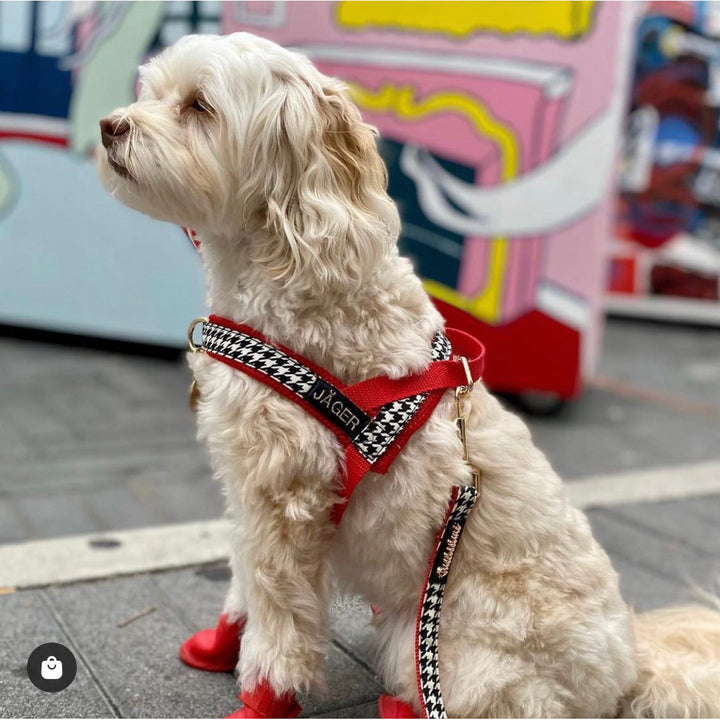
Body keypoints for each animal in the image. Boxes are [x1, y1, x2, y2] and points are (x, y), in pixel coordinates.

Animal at [98, 33, 720, 720]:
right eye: (152, 92)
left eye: (199, 107)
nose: (108, 127)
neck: (295, 267)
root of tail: (630, 665)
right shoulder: (248, 492)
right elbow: (242, 580)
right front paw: (221, 640)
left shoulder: (283, 499)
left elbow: (279, 617)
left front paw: (264, 694)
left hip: (446, 648)